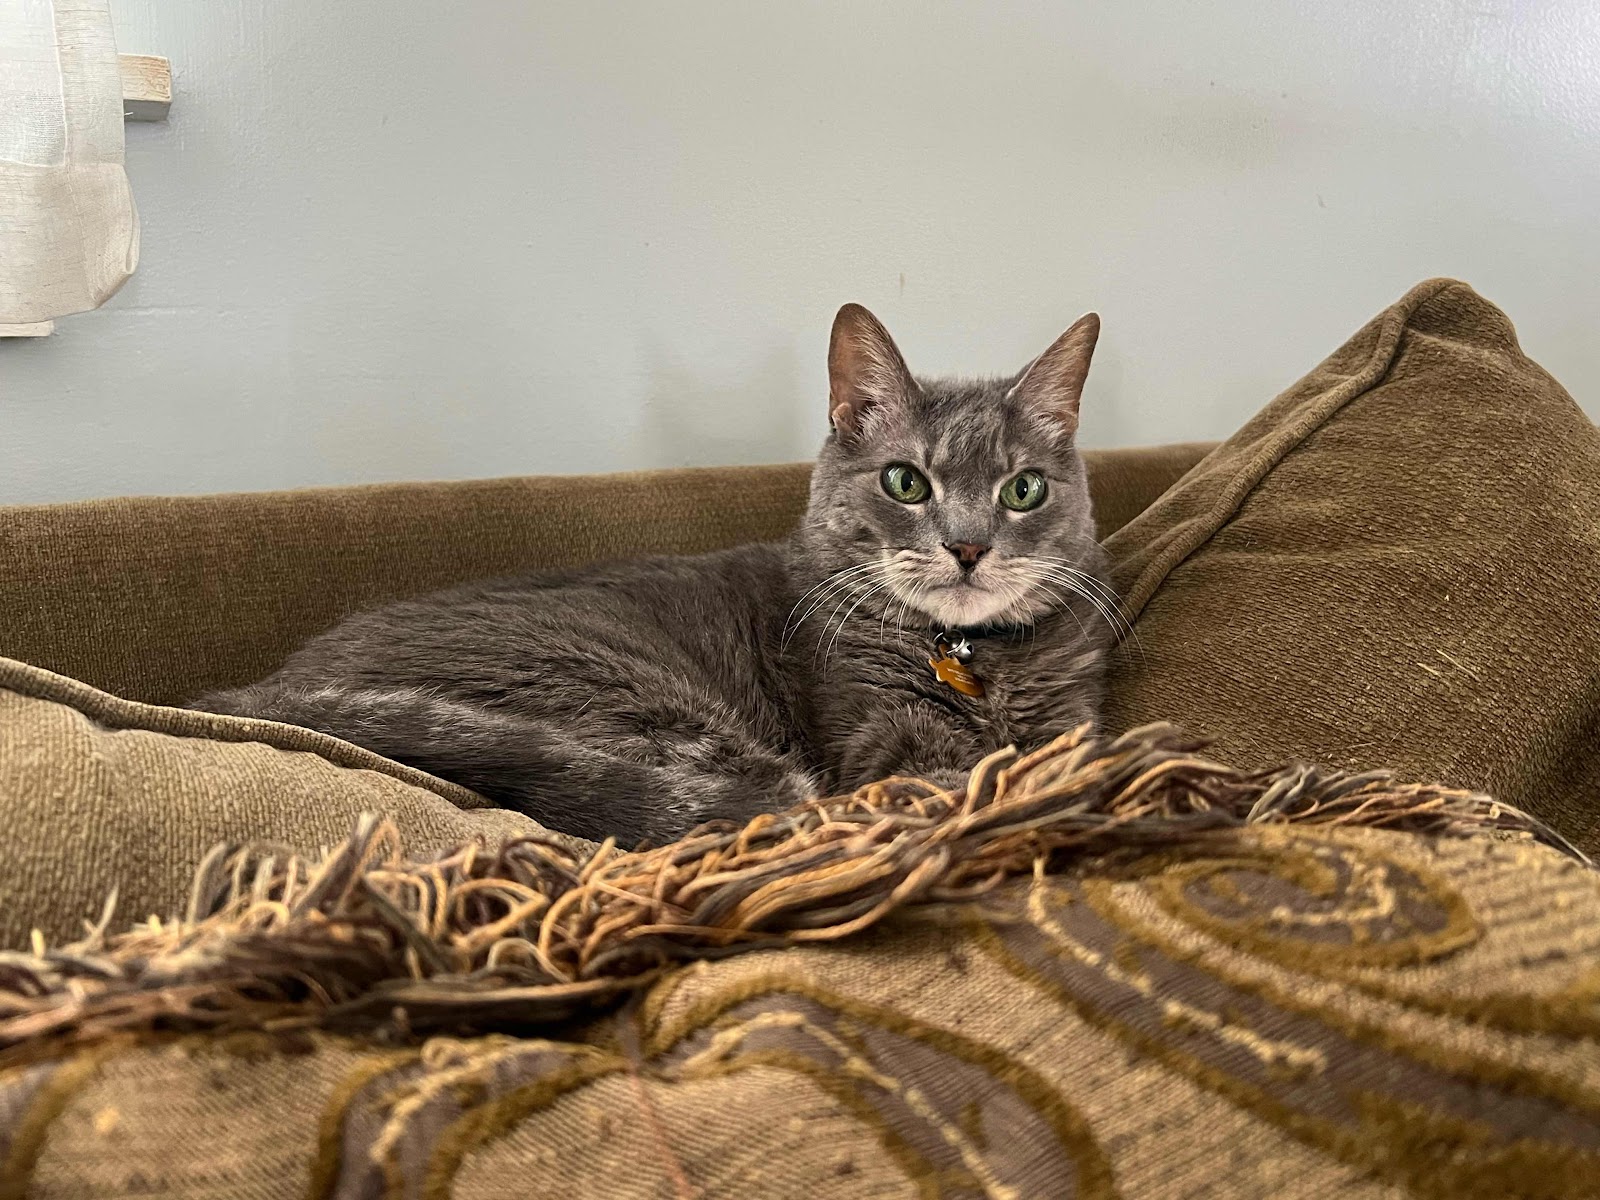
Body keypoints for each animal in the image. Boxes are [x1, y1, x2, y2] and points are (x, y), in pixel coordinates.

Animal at [193, 304, 1115, 845]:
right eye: (906, 482)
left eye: (1024, 489)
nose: (969, 546)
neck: (976, 657)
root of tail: (258, 692)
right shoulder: (887, 741)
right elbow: (977, 774)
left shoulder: (1073, 715)